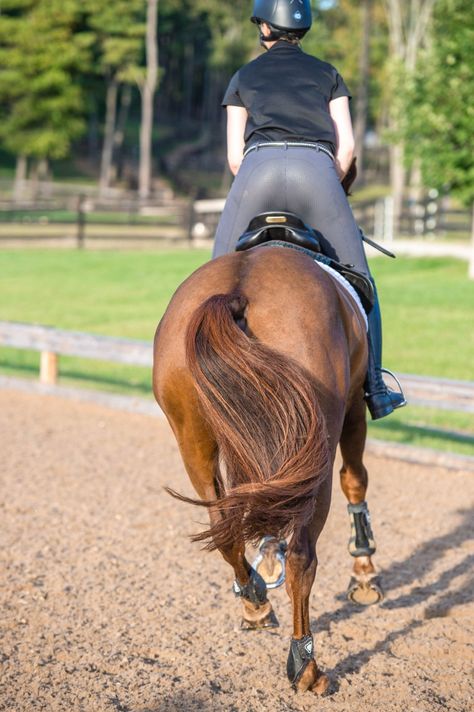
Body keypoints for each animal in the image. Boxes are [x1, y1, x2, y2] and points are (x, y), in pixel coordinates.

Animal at [154, 235, 384, 696]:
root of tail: (236, 293)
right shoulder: (353, 408)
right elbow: (356, 481)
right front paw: (364, 573)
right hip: (316, 451)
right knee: (303, 556)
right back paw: (305, 665)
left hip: (194, 442)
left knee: (225, 530)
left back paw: (256, 605)